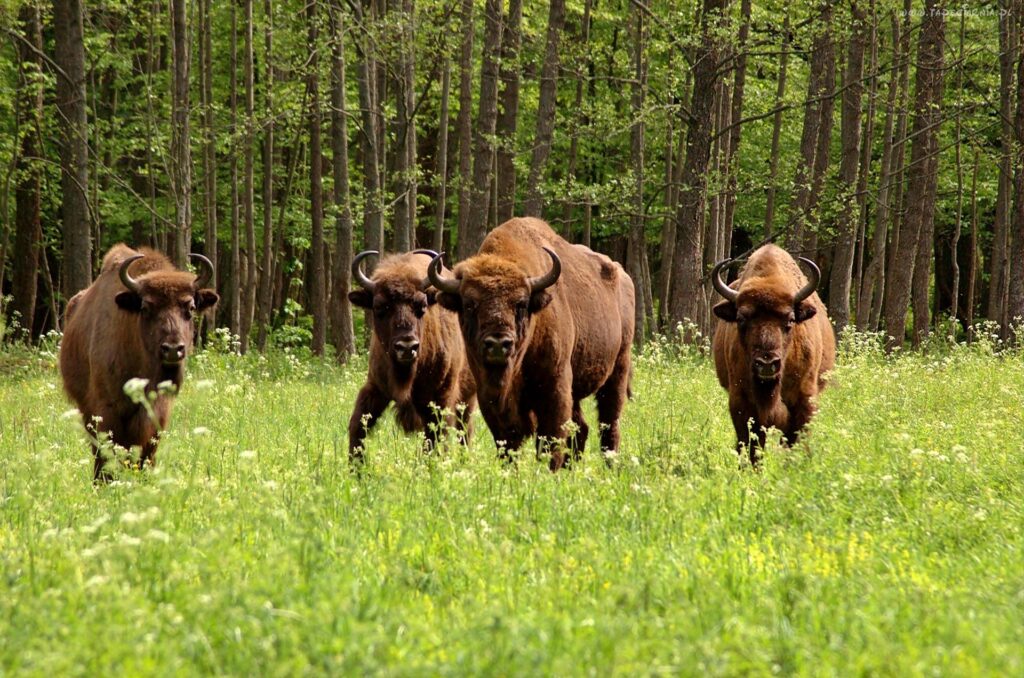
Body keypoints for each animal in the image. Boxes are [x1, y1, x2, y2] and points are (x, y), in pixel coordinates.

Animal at [346, 249, 477, 462]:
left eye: (422, 306)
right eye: (379, 307)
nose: (407, 347)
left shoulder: (441, 397)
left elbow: (437, 437)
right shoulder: (375, 387)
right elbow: (358, 425)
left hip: (468, 398)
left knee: (464, 431)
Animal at [423, 219, 630, 473]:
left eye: (521, 304)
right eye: (470, 304)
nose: (498, 344)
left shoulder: (555, 386)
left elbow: (550, 438)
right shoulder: (490, 396)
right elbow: (508, 441)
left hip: (618, 369)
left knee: (609, 422)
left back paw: (610, 467)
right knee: (582, 427)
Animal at [708, 244, 835, 462]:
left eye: (790, 319)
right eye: (741, 319)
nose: (767, 363)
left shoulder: (804, 399)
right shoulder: (740, 403)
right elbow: (749, 445)